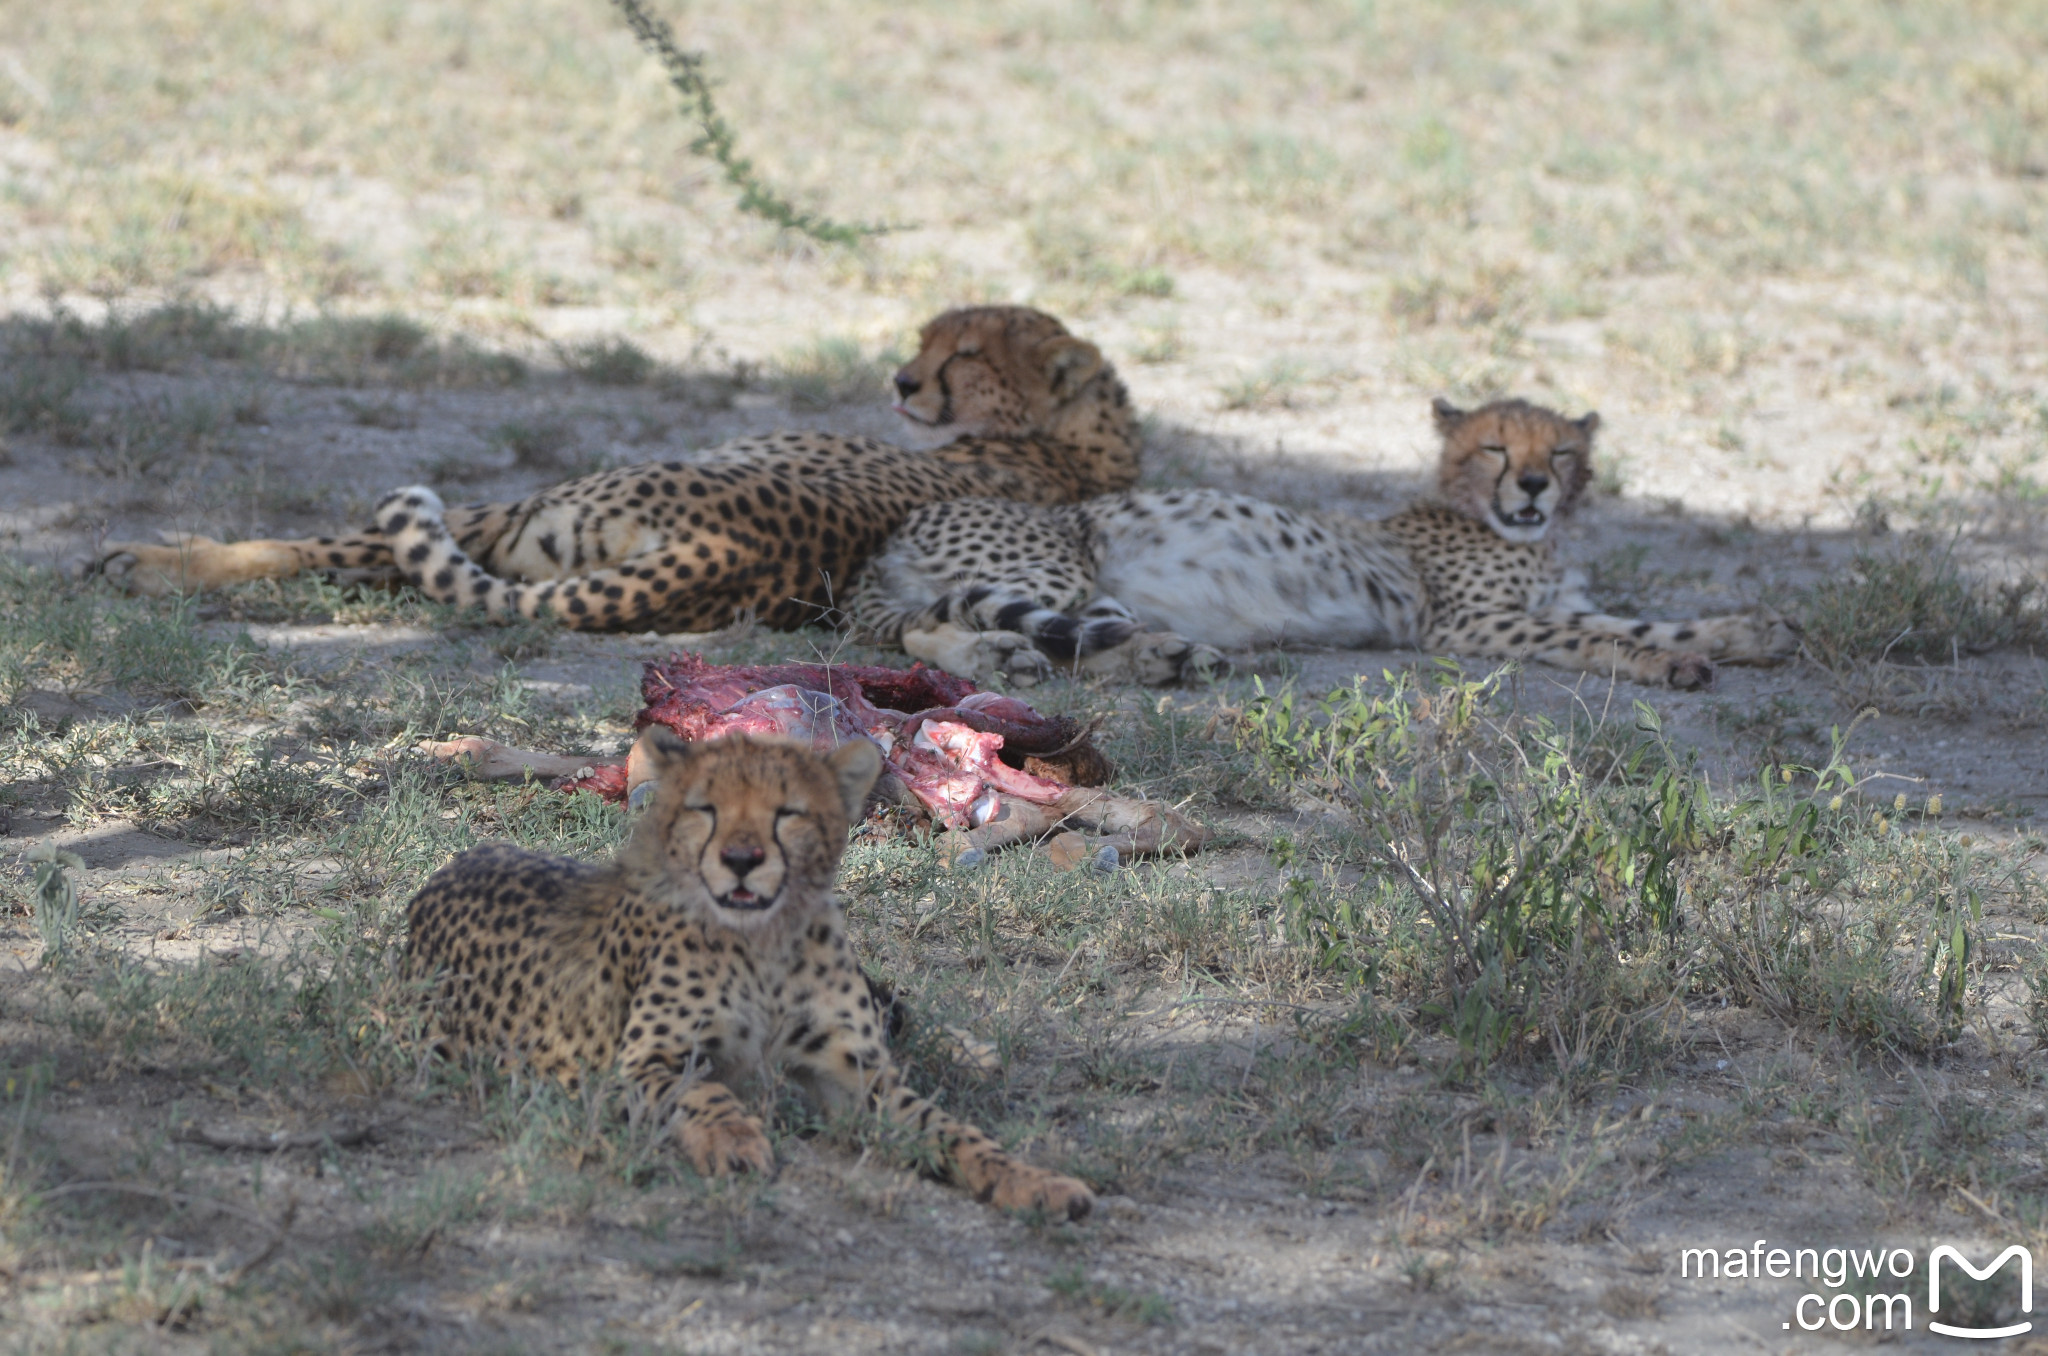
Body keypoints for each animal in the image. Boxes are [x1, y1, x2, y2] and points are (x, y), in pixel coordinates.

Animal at [92, 307, 1138, 639]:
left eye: (964, 353)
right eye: (926, 338)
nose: (903, 380)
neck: (1082, 442)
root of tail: (729, 544)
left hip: (520, 509)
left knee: (331, 544)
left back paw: (148, 560)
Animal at [405, 733, 1097, 1220]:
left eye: (788, 813)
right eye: (705, 809)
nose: (742, 859)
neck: (762, 943)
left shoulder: (859, 1079)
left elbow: (956, 1131)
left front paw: (1033, 1180)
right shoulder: (639, 1064)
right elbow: (704, 1093)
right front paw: (735, 1139)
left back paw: (975, 1053)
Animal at [839, 393, 1802, 692]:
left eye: (1559, 452)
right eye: (1495, 447)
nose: (1533, 485)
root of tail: (885, 539)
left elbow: (1641, 620)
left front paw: (1750, 633)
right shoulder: (1466, 626)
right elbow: (1594, 639)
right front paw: (1666, 666)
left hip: (1093, 592)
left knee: (1082, 642)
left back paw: (1165, 657)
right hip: (1060, 560)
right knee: (926, 626)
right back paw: (995, 658)